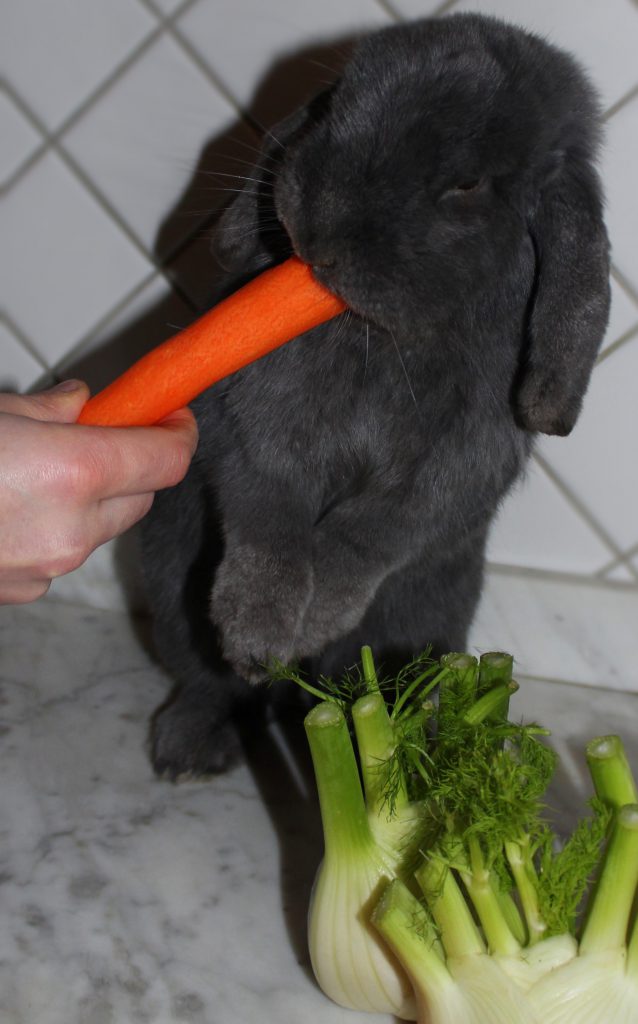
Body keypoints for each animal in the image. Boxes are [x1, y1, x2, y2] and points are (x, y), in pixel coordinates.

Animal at [142, 12, 610, 774]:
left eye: (467, 183)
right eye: (334, 107)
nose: (318, 234)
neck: (382, 340)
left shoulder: (448, 479)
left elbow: (369, 538)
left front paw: (317, 618)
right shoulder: (256, 436)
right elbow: (267, 520)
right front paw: (261, 635)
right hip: (168, 577)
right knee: (209, 681)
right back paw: (193, 744)